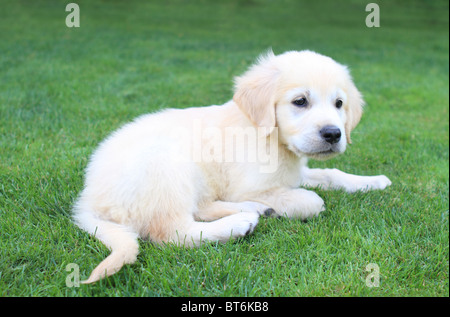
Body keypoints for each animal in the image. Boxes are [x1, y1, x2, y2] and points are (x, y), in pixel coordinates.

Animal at [73, 50, 390, 282]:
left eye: (339, 103)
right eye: (300, 101)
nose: (333, 134)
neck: (271, 137)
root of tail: (89, 199)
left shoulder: (295, 171)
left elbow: (330, 173)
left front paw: (372, 181)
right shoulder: (247, 186)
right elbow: (310, 199)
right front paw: (304, 202)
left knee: (200, 209)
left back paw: (256, 211)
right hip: (169, 167)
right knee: (174, 232)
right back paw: (240, 223)